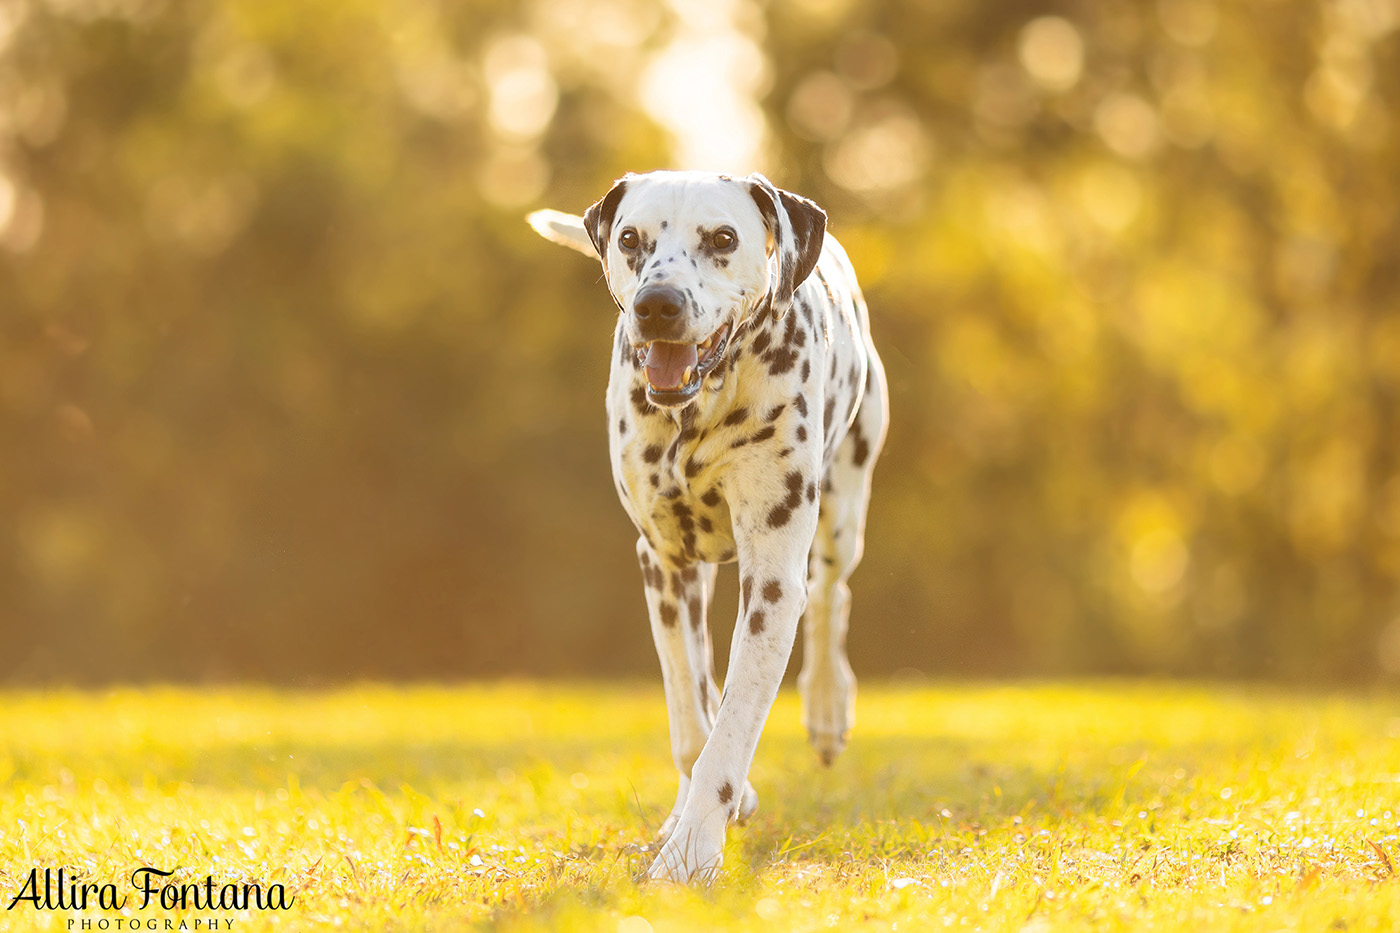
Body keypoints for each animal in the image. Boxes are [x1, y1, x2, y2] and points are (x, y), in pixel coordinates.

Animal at [526, 172, 884, 879]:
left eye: (722, 238)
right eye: (630, 238)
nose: (656, 305)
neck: (700, 411)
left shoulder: (772, 583)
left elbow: (732, 728)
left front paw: (689, 856)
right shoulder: (665, 563)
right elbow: (693, 716)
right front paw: (700, 814)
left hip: (844, 507)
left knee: (832, 594)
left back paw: (828, 708)